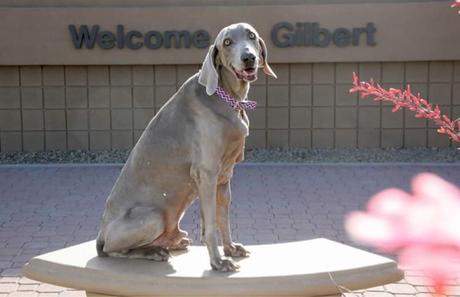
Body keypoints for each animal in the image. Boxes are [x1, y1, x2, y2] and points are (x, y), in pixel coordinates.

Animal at [96, 22, 276, 270]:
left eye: (251, 36)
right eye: (227, 42)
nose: (248, 57)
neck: (227, 97)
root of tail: (100, 234)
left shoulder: (224, 176)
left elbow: (222, 219)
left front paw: (231, 249)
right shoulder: (206, 173)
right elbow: (210, 225)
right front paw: (218, 262)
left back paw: (172, 243)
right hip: (153, 217)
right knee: (113, 251)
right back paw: (153, 252)